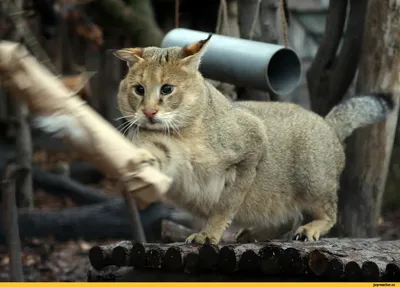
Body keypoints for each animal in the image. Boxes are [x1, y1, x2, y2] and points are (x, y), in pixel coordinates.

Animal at [112, 35, 394, 244]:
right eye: (138, 89)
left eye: (167, 89)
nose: (149, 112)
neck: (184, 133)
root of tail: (328, 124)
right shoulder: (164, 152)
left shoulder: (252, 147)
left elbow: (225, 204)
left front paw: (208, 234)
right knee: (287, 217)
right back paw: (255, 233)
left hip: (313, 179)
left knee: (328, 214)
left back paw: (309, 229)